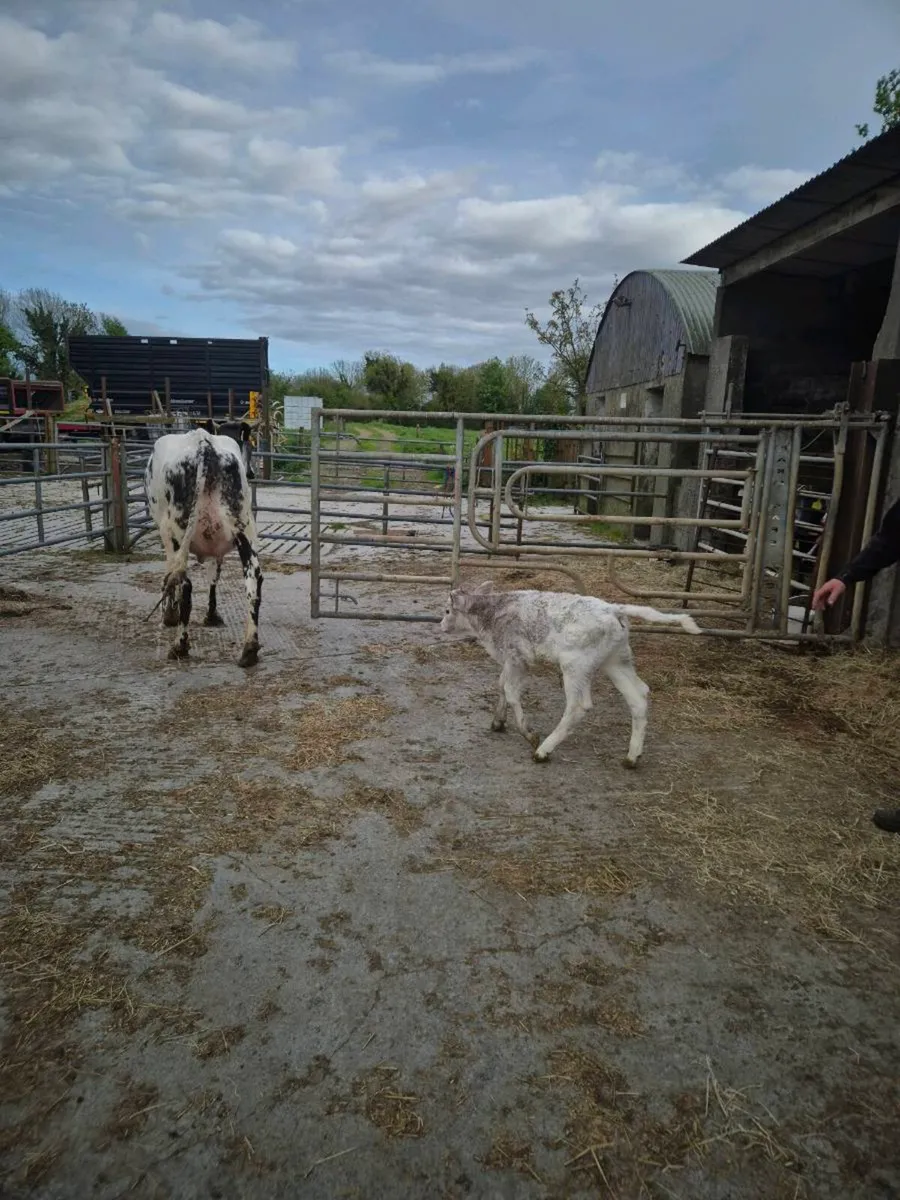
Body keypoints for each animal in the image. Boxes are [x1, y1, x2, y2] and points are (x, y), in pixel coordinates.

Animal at [145, 423, 262, 667]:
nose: (251, 473)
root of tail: (204, 443)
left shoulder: (166, 534)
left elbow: (170, 576)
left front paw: (169, 614)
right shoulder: (216, 548)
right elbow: (213, 576)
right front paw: (211, 615)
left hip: (178, 531)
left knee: (184, 582)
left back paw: (180, 645)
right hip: (243, 527)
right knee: (253, 579)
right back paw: (249, 648)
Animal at [440, 582, 701, 766]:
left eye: (447, 610)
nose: (441, 626)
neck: (493, 614)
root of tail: (614, 608)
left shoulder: (518, 657)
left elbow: (511, 691)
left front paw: (528, 733)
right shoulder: (511, 661)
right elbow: (501, 684)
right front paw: (498, 721)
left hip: (575, 666)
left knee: (578, 706)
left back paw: (543, 750)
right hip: (616, 661)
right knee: (638, 696)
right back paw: (632, 757)